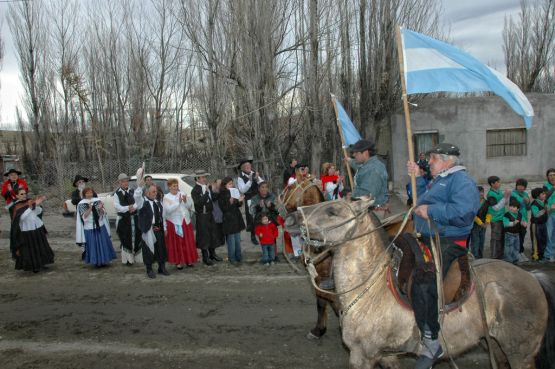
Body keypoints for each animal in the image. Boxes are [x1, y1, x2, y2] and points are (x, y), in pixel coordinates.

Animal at [288, 198, 555, 368]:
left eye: (332, 211)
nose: (291, 216)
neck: (370, 288)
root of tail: (532, 277)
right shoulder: (386, 356)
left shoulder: (362, 355)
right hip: (496, 347)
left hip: (519, 353)